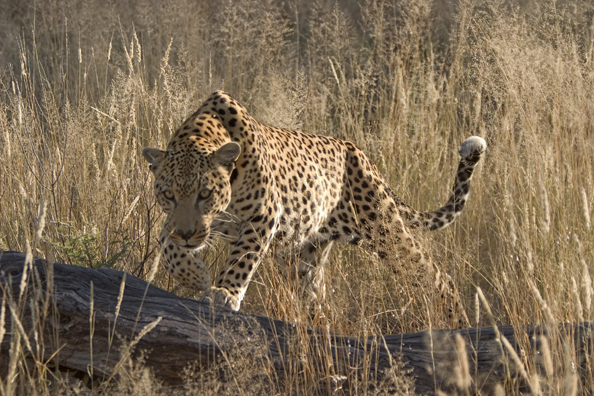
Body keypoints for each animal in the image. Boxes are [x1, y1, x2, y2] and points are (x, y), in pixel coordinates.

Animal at [143, 88, 486, 324]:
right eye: (168, 195)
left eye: (205, 194)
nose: (188, 235)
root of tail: (361, 155)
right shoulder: (172, 222)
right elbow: (168, 249)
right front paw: (195, 275)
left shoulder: (264, 214)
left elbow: (243, 257)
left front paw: (225, 292)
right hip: (305, 257)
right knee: (315, 304)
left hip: (383, 226)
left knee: (435, 276)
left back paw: (459, 327)